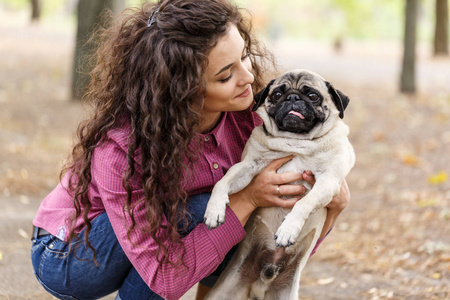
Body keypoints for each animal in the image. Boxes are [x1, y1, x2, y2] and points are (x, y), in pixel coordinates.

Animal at [203, 69, 356, 298]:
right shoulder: (247, 166)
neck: (296, 141)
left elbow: (303, 203)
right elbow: (222, 182)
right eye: (276, 94)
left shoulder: (328, 180)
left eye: (313, 96)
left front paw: (288, 229)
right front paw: (214, 211)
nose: (292, 97)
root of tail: (262, 281)